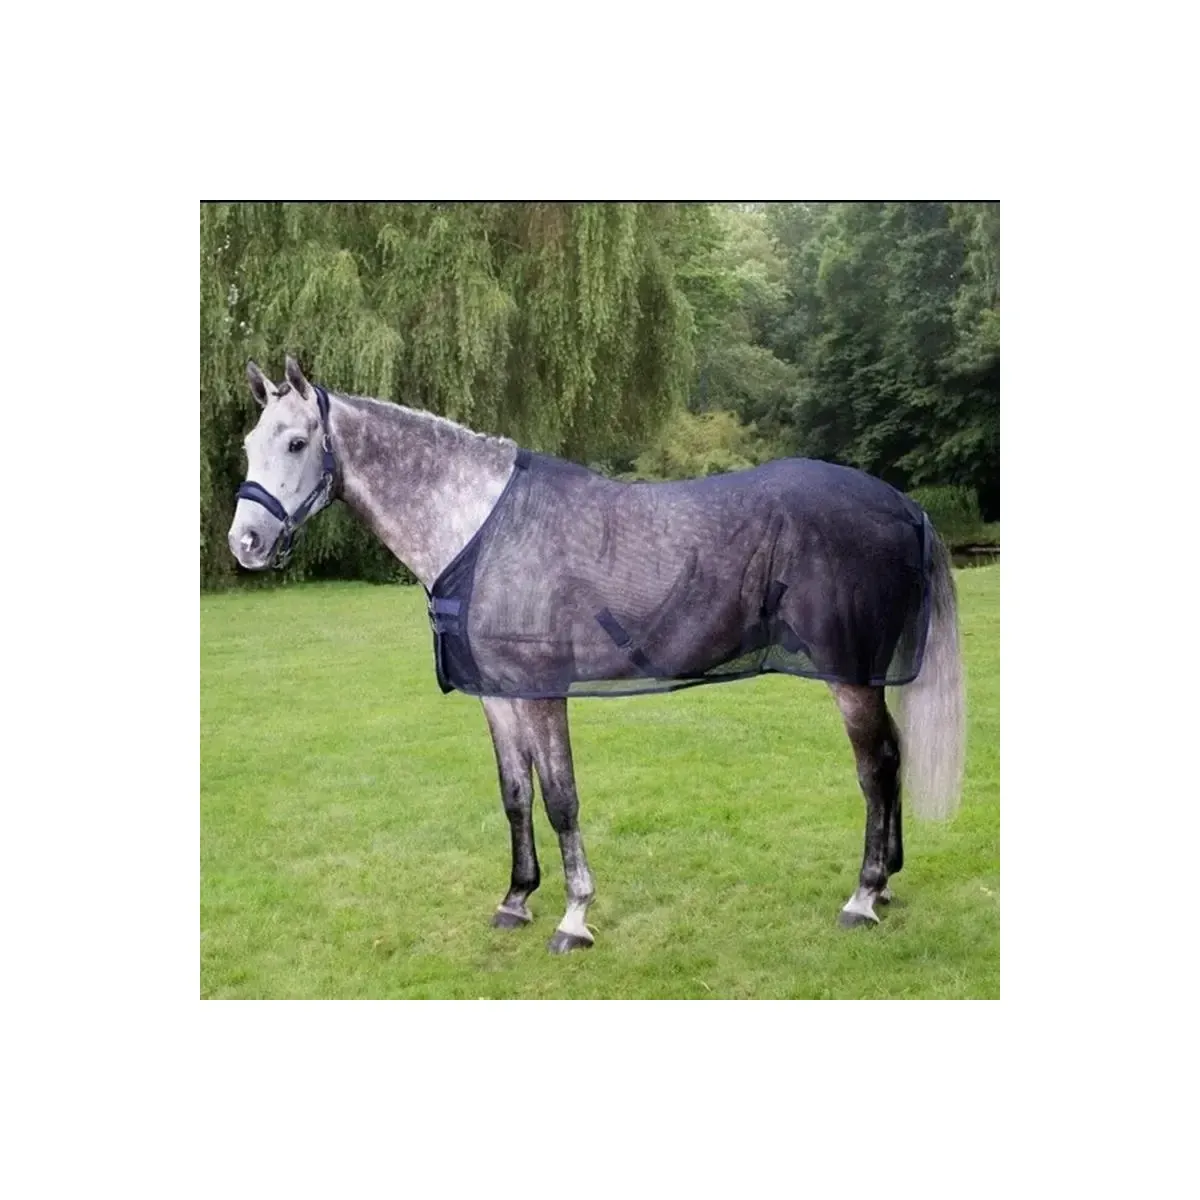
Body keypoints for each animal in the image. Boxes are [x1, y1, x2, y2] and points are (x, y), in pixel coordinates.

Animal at [227, 357, 965, 953]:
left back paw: (863, 896)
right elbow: (515, 796)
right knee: (893, 758)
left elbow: (561, 798)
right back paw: (886, 885)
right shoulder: (499, 696)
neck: (482, 528)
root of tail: (904, 506)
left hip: (851, 677)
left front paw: (574, 917)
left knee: (875, 768)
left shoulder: (543, 691)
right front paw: (516, 900)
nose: (246, 543)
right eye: (248, 445)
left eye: (296, 442)